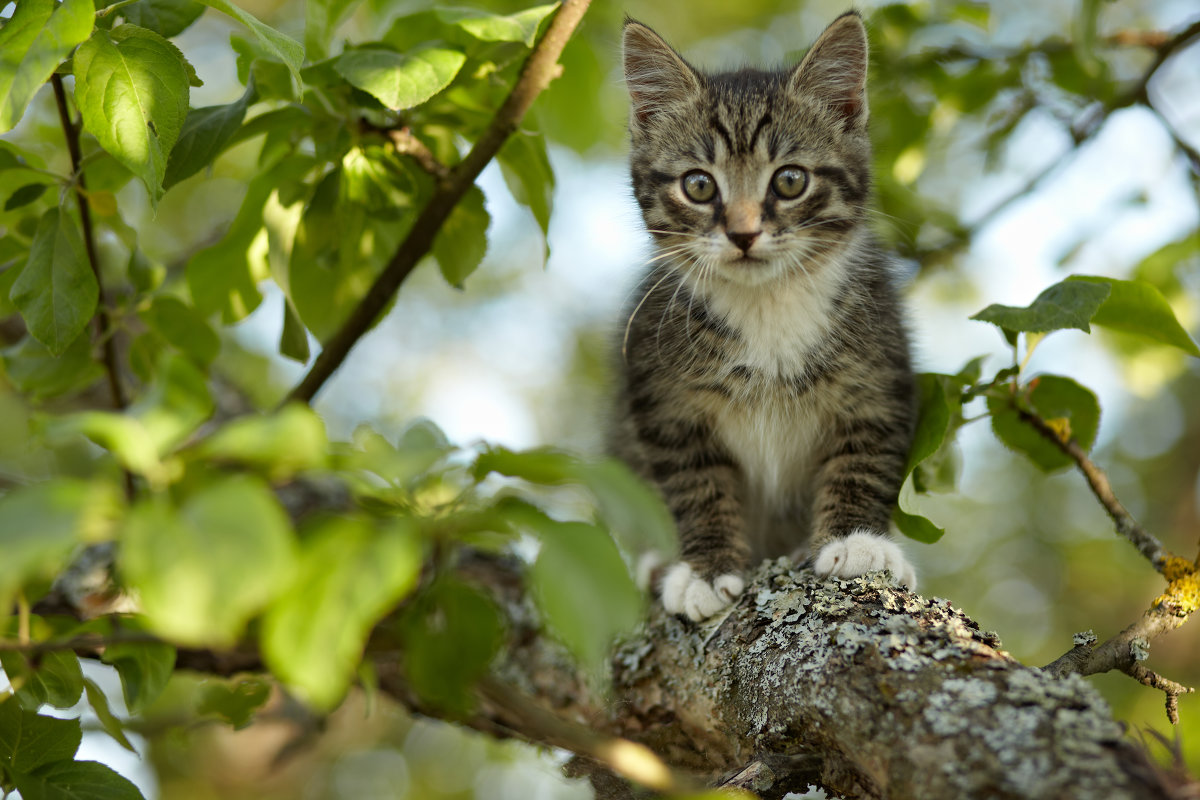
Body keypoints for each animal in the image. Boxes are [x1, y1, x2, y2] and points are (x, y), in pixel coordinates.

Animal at [614, 14, 912, 623]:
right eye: (699, 184)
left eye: (790, 180)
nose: (743, 233)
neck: (766, 304)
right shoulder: (660, 395)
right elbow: (695, 481)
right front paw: (705, 569)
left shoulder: (880, 369)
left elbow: (865, 455)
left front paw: (857, 541)